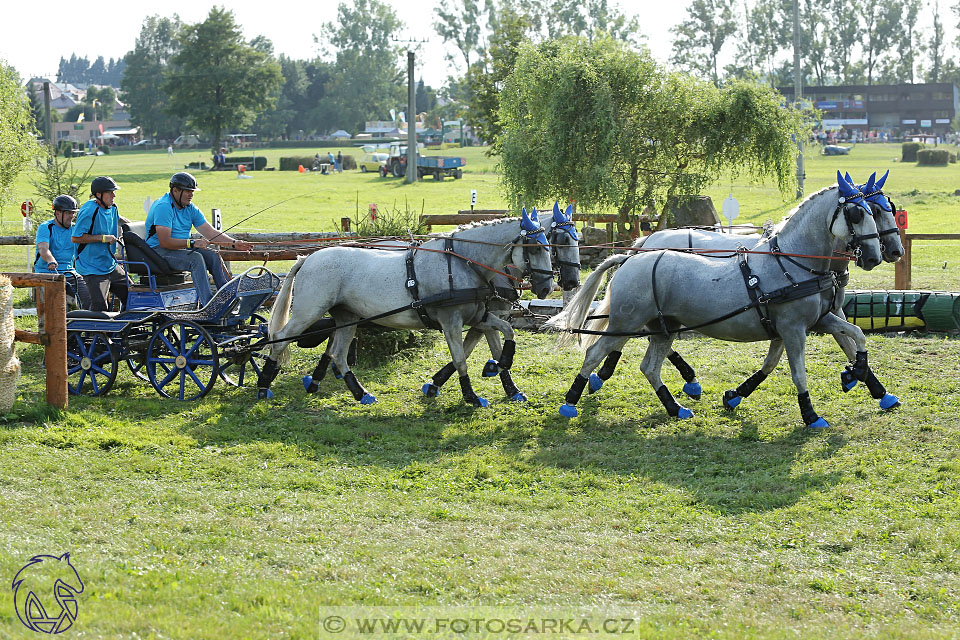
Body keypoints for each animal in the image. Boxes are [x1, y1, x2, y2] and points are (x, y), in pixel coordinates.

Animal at [255, 212, 556, 408]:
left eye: (549, 245)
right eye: (535, 247)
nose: (546, 287)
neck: (462, 264)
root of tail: (307, 258)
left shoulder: (478, 316)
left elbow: (507, 333)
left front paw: (499, 365)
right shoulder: (450, 321)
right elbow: (460, 359)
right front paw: (471, 396)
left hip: (346, 316)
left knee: (338, 354)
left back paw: (361, 394)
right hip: (308, 312)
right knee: (279, 340)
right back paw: (263, 386)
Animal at [548, 172, 884, 428]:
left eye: (875, 211)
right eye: (857, 213)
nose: (875, 257)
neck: (792, 263)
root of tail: (629, 257)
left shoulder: (815, 321)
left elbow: (856, 334)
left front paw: (858, 372)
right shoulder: (793, 329)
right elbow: (798, 373)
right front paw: (812, 416)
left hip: (663, 327)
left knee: (649, 367)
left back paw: (675, 407)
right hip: (626, 321)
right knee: (595, 354)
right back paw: (571, 402)